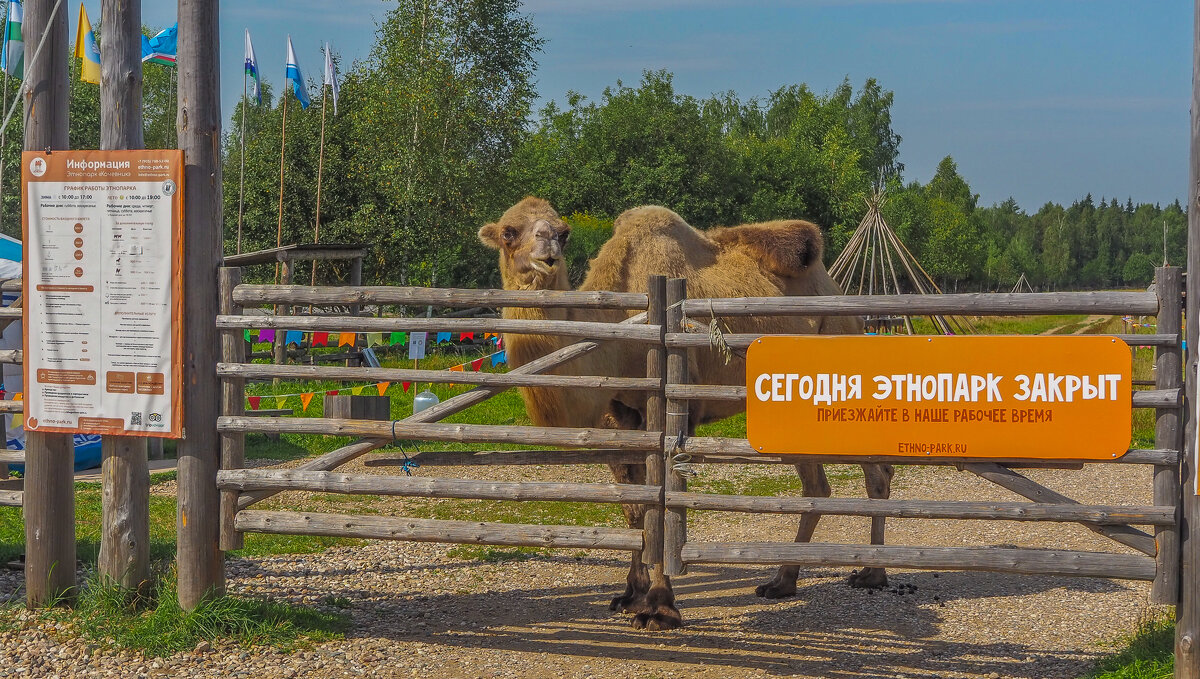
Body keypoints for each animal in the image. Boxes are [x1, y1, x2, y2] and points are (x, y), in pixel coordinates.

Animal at [482, 197, 897, 633]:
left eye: (563, 232)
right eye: (509, 232)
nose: (546, 252)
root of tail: (837, 293)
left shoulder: (671, 412)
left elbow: (664, 508)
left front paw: (660, 607)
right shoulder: (618, 419)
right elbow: (635, 509)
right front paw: (630, 594)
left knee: (875, 471)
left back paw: (873, 574)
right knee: (817, 485)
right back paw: (783, 581)